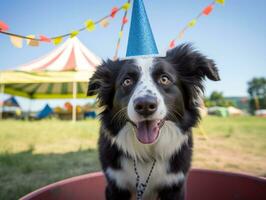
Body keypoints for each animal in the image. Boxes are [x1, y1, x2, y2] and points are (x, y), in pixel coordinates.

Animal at [88, 44, 220, 200]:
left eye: (164, 79)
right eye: (127, 81)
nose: (145, 105)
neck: (148, 153)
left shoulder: (175, 186)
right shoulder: (115, 186)